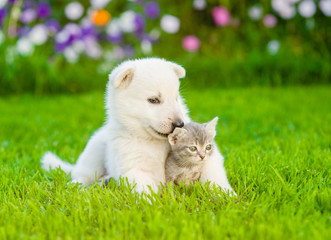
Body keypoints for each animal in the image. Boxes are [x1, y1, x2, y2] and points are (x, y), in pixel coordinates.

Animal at [40, 58, 236, 195]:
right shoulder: (135, 168)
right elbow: (145, 191)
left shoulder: (211, 160)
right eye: (153, 100)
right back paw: (78, 185)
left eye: (176, 98)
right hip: (93, 153)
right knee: (82, 174)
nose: (179, 124)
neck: (154, 142)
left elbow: (215, 179)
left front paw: (228, 197)